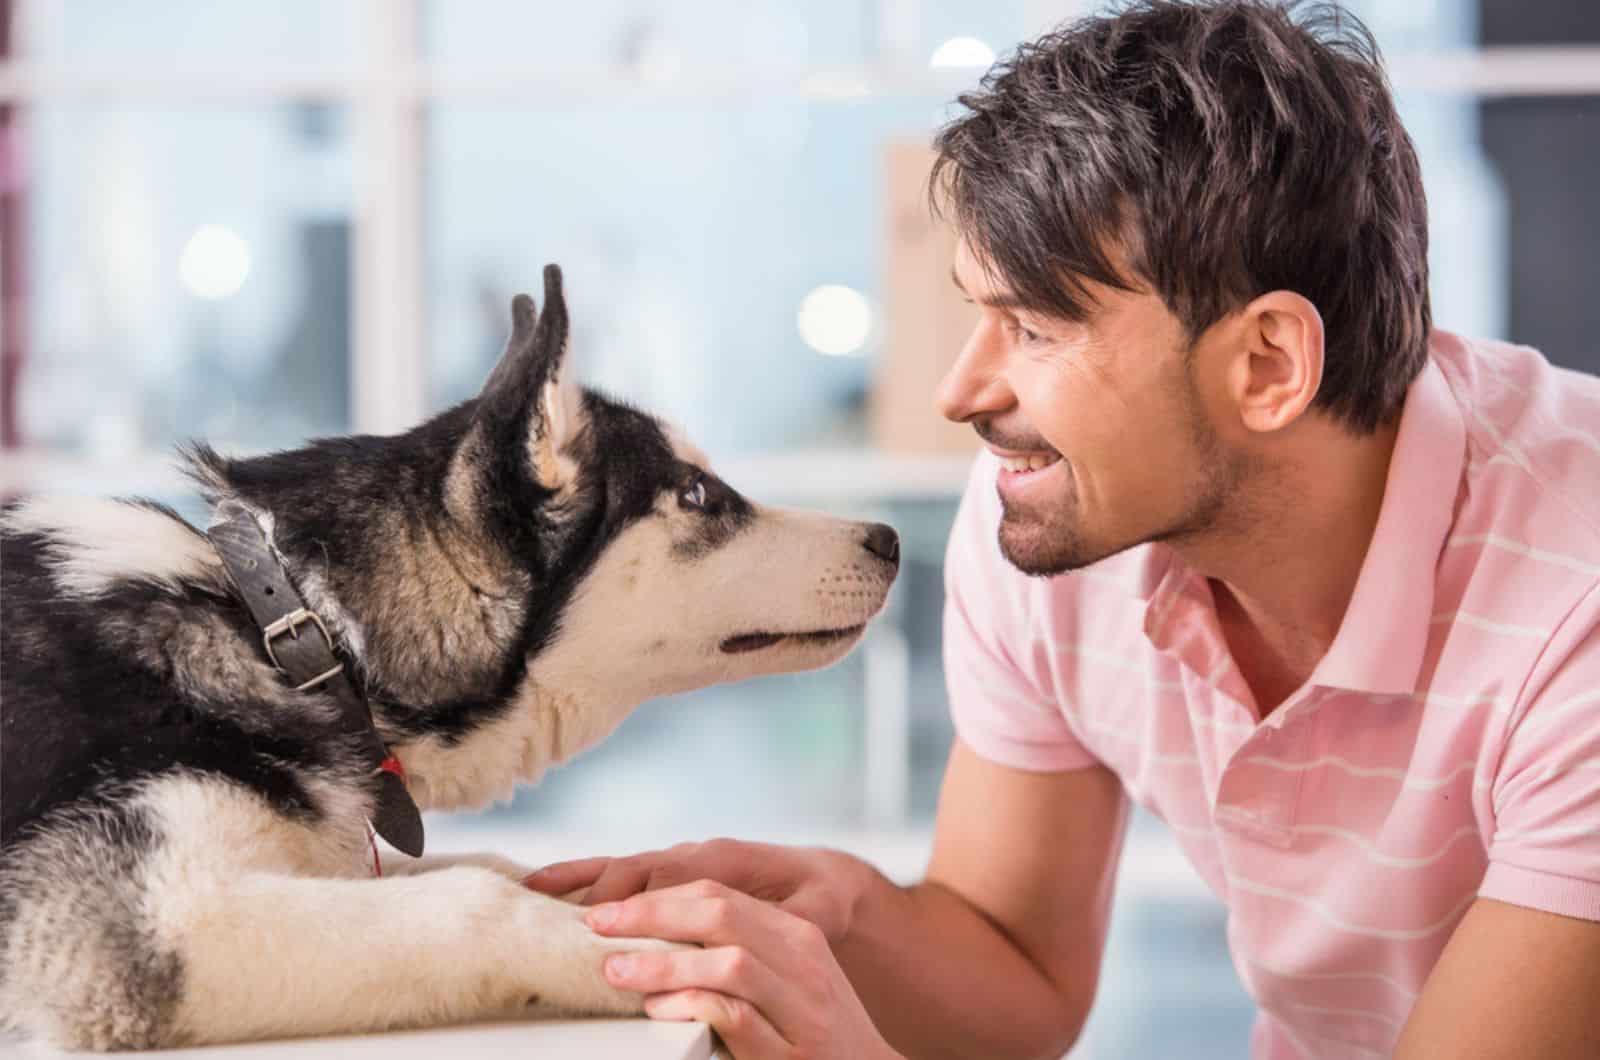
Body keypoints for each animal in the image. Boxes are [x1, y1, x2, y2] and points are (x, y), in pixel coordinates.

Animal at [0, 267, 902, 1056]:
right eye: (699, 496)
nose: (889, 539)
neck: (291, 628)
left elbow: (491, 865)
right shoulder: (143, 922)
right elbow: (476, 901)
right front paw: (656, 949)